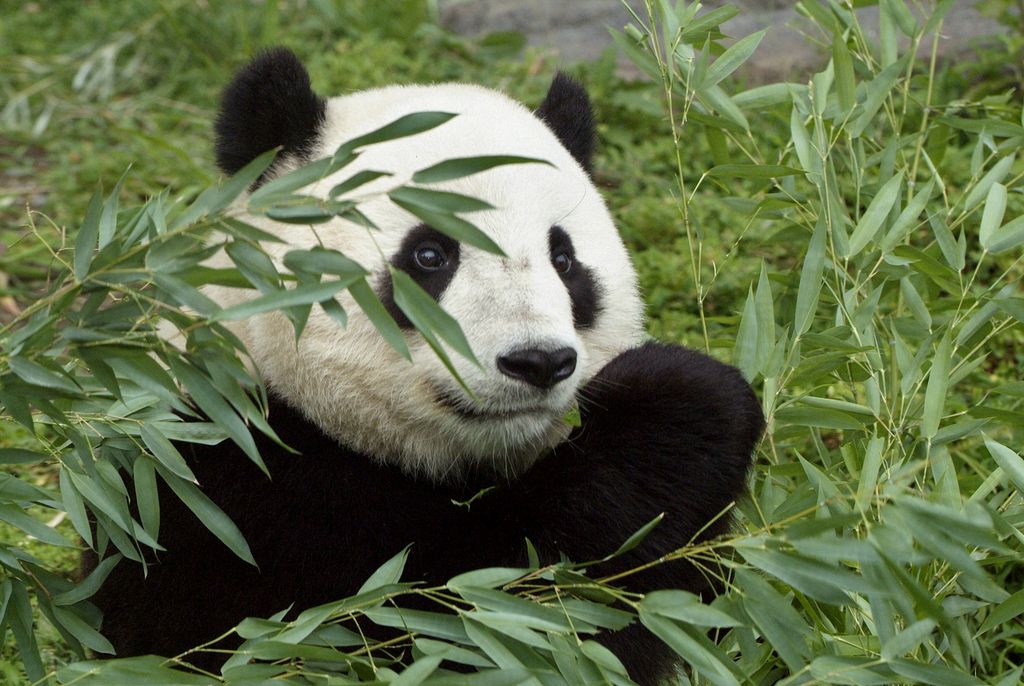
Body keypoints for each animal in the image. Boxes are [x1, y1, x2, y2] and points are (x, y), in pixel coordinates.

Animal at [86, 49, 761, 686]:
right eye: (430, 255)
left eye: (564, 259)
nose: (538, 361)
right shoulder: (210, 484)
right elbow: (441, 623)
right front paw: (682, 402)